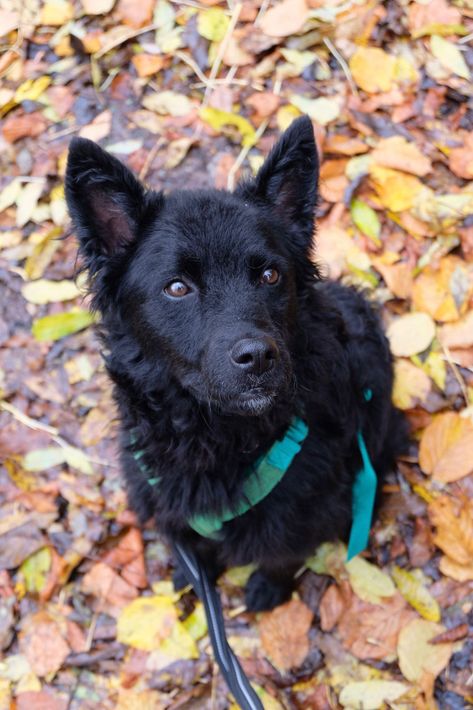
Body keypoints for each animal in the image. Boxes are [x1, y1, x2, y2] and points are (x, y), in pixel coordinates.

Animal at [66, 116, 405, 612]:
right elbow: (192, 551)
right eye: (177, 287)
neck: (213, 437)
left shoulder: (302, 513)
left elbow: (282, 555)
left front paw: (268, 589)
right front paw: (193, 579)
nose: (259, 356)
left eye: (270, 275)